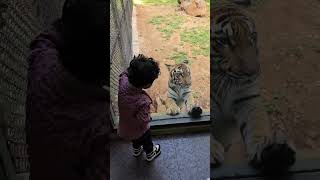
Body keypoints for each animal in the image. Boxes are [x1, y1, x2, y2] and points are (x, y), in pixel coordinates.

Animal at [210, 1, 296, 172]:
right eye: (225, 41)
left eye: (252, 37)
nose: (252, 73)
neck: (222, 79)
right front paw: (211, 152)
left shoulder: (247, 97)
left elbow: (257, 123)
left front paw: (267, 149)